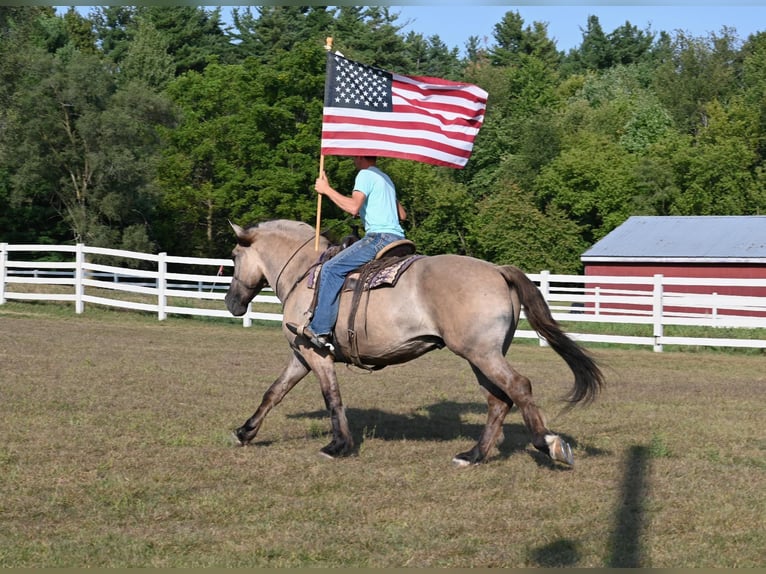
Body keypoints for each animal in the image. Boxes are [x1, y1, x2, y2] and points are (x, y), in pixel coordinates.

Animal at [225, 219, 604, 466]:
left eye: (232, 257)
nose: (232, 303)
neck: (306, 273)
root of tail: (497, 270)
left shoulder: (315, 352)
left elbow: (332, 397)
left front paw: (338, 445)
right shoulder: (302, 355)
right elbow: (274, 392)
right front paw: (245, 432)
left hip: (481, 354)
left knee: (518, 387)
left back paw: (548, 443)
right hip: (481, 356)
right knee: (498, 401)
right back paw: (473, 455)